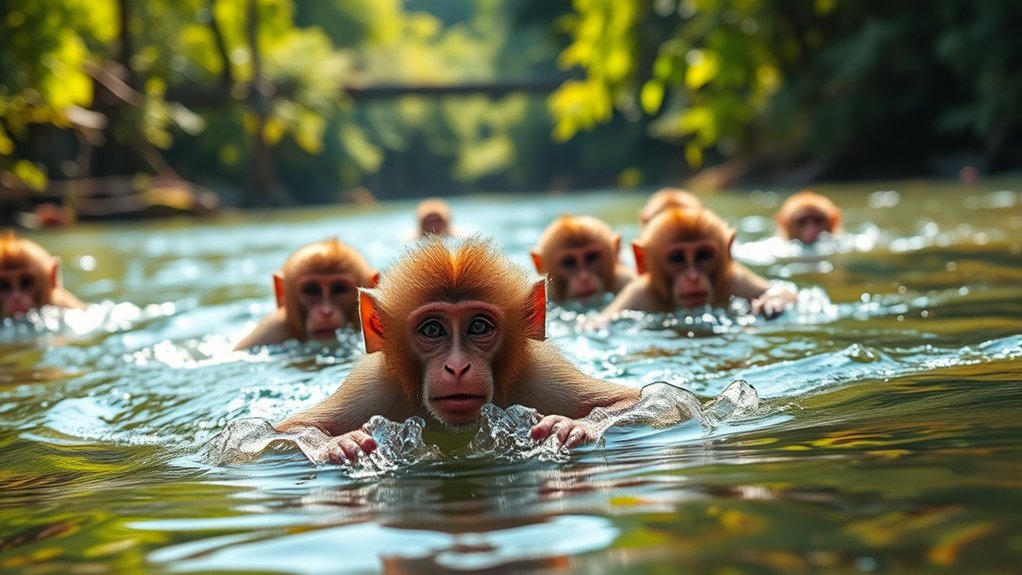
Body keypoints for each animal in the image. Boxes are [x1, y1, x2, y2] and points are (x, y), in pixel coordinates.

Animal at [275, 236, 640, 462]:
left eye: (478, 327)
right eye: (432, 329)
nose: (457, 366)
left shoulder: (539, 376)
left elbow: (639, 401)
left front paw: (573, 426)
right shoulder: (373, 389)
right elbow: (281, 434)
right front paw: (339, 443)